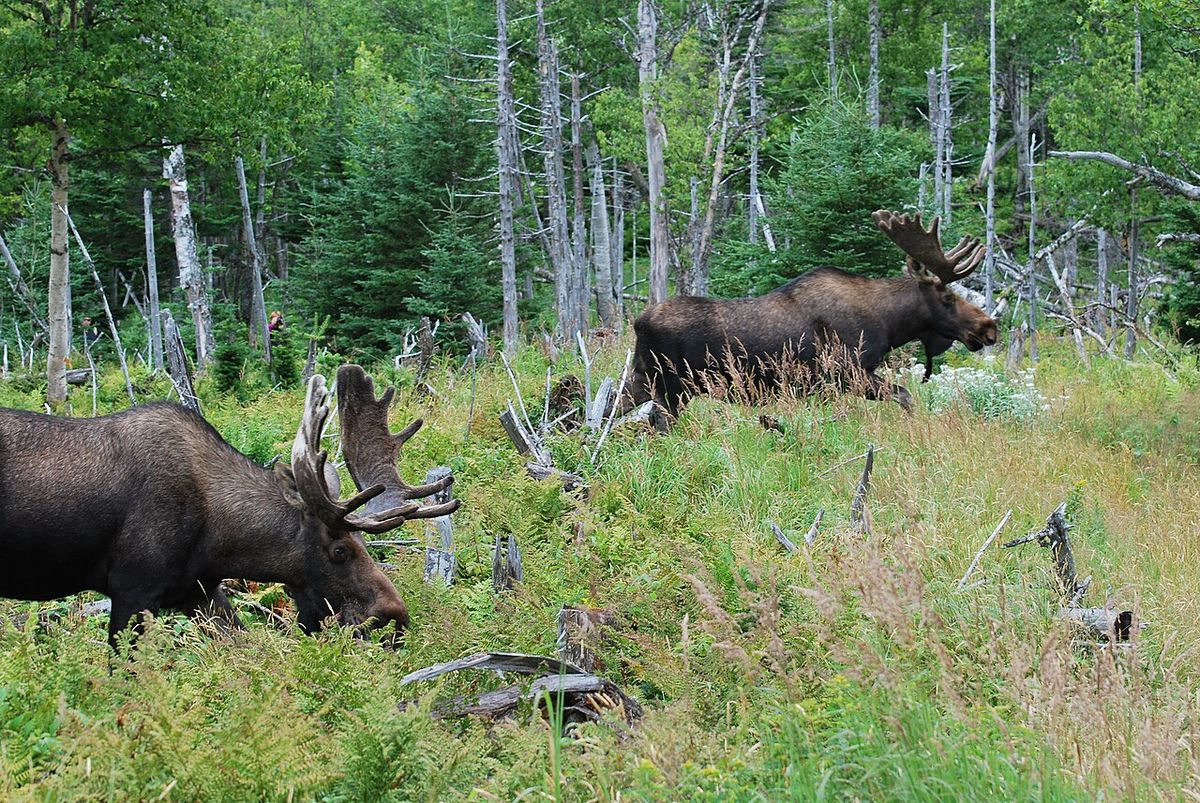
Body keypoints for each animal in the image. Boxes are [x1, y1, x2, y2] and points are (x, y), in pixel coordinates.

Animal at [621, 210, 998, 429]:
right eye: (948, 298)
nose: (988, 328)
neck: (890, 324)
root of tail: (639, 322)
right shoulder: (849, 373)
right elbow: (905, 396)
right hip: (674, 388)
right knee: (658, 424)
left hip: (643, 377)